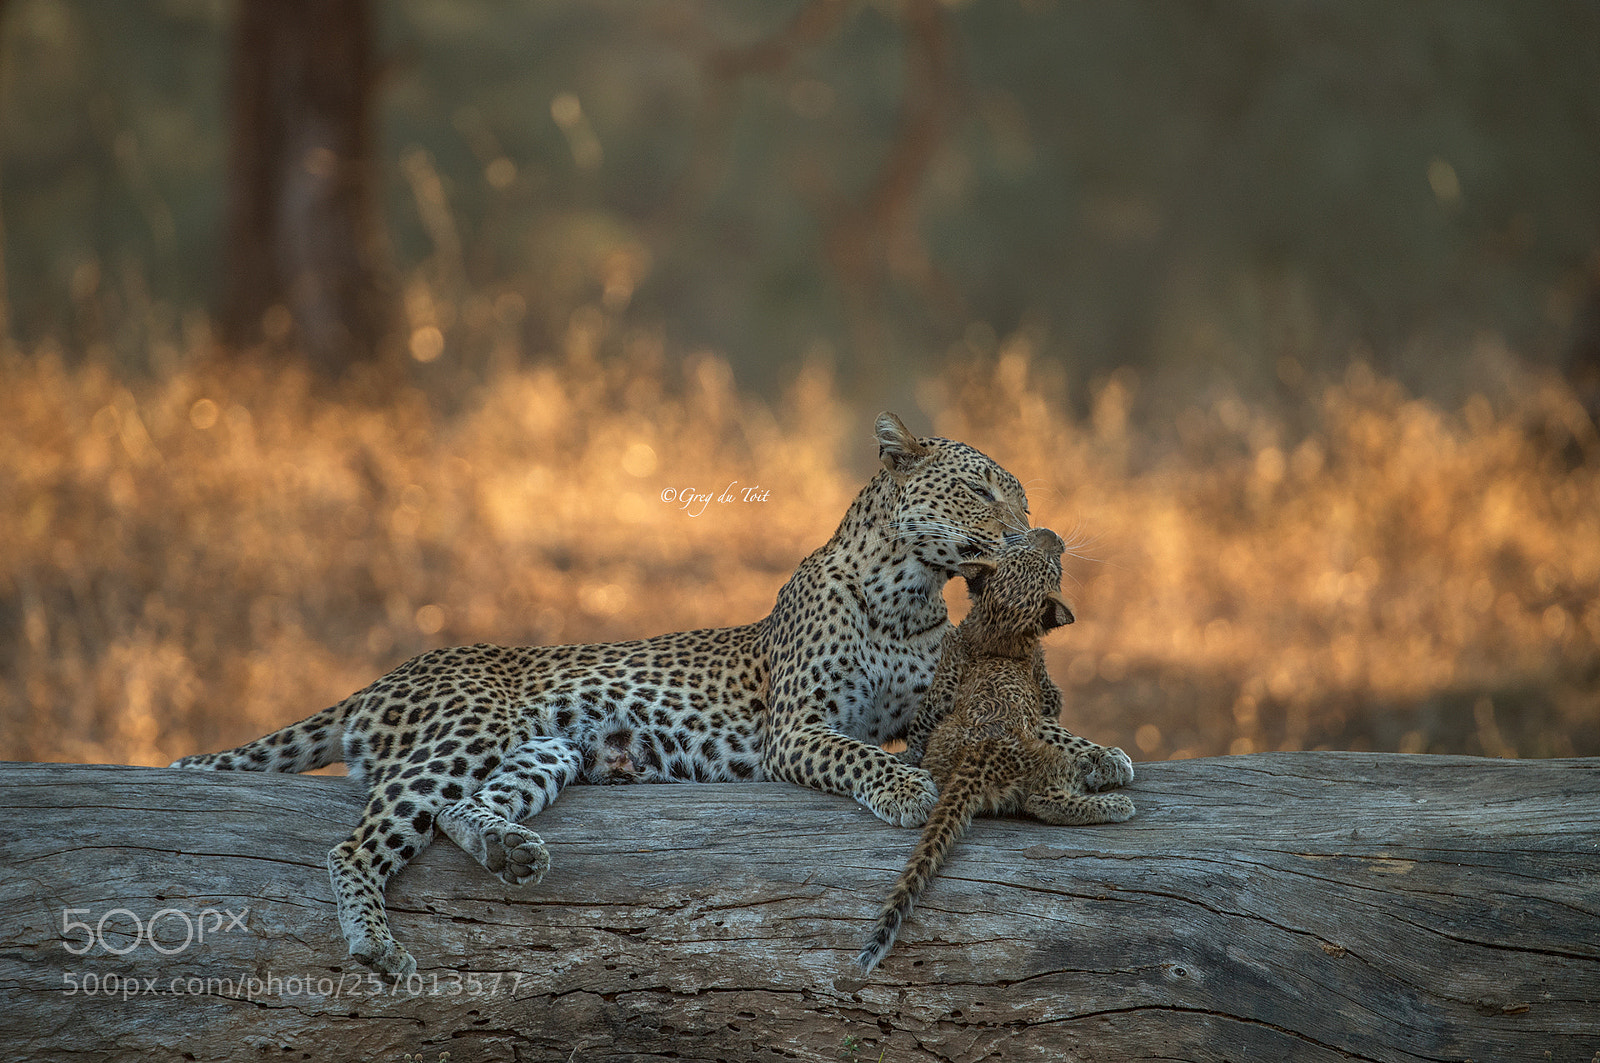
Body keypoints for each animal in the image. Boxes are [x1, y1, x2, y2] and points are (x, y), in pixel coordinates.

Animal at [171, 412, 1095, 979]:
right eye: (981, 488)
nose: (1031, 528)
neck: (907, 595)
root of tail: (388, 673)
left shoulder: (931, 710)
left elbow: (1043, 734)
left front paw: (1102, 758)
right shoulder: (797, 730)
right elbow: (855, 750)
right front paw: (904, 786)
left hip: (544, 748)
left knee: (461, 809)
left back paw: (511, 852)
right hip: (463, 730)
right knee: (357, 843)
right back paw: (376, 945)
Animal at [855, 526, 1136, 974]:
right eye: (1050, 564)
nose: (1050, 535)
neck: (996, 631)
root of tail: (982, 753)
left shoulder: (942, 692)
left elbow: (921, 726)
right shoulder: (1040, 694)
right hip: (1048, 763)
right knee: (1044, 800)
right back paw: (1115, 805)